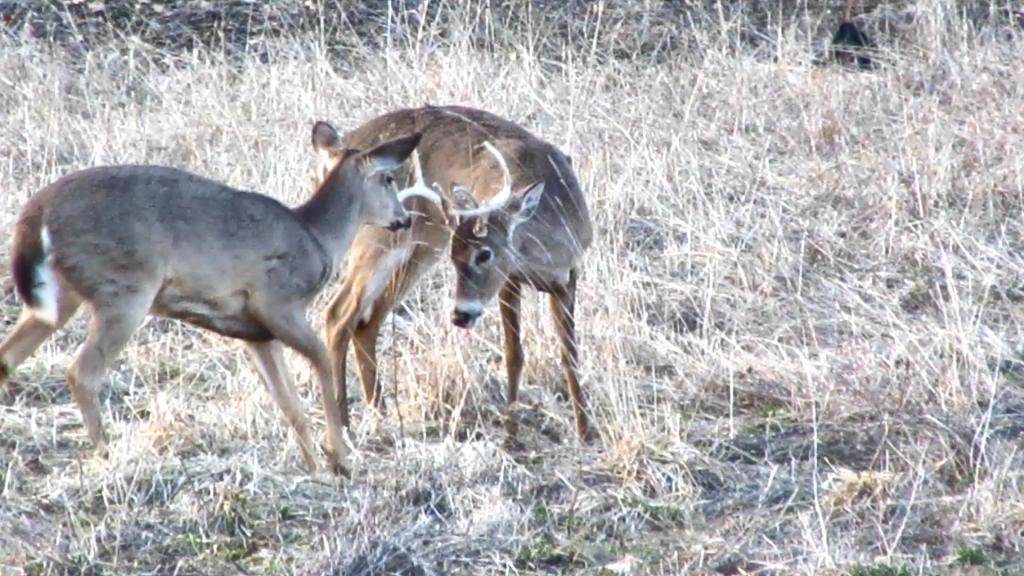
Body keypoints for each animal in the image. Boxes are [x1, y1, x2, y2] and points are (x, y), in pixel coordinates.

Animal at [0, 125, 430, 476]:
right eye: (389, 179)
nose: (404, 219)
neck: (316, 238)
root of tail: (36, 214)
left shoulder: (256, 334)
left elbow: (288, 402)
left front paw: (312, 465)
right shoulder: (278, 304)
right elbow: (321, 361)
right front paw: (340, 459)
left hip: (61, 297)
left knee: (8, 356)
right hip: (125, 287)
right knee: (82, 371)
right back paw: (109, 455)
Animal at [316, 105, 593, 439]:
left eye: (484, 253)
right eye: (456, 257)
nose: (460, 315)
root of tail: (338, 149)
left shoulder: (568, 277)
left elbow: (570, 357)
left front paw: (585, 430)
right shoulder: (509, 278)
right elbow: (514, 353)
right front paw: (511, 427)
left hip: (423, 245)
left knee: (367, 321)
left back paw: (379, 410)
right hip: (377, 237)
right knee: (337, 314)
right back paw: (343, 424)